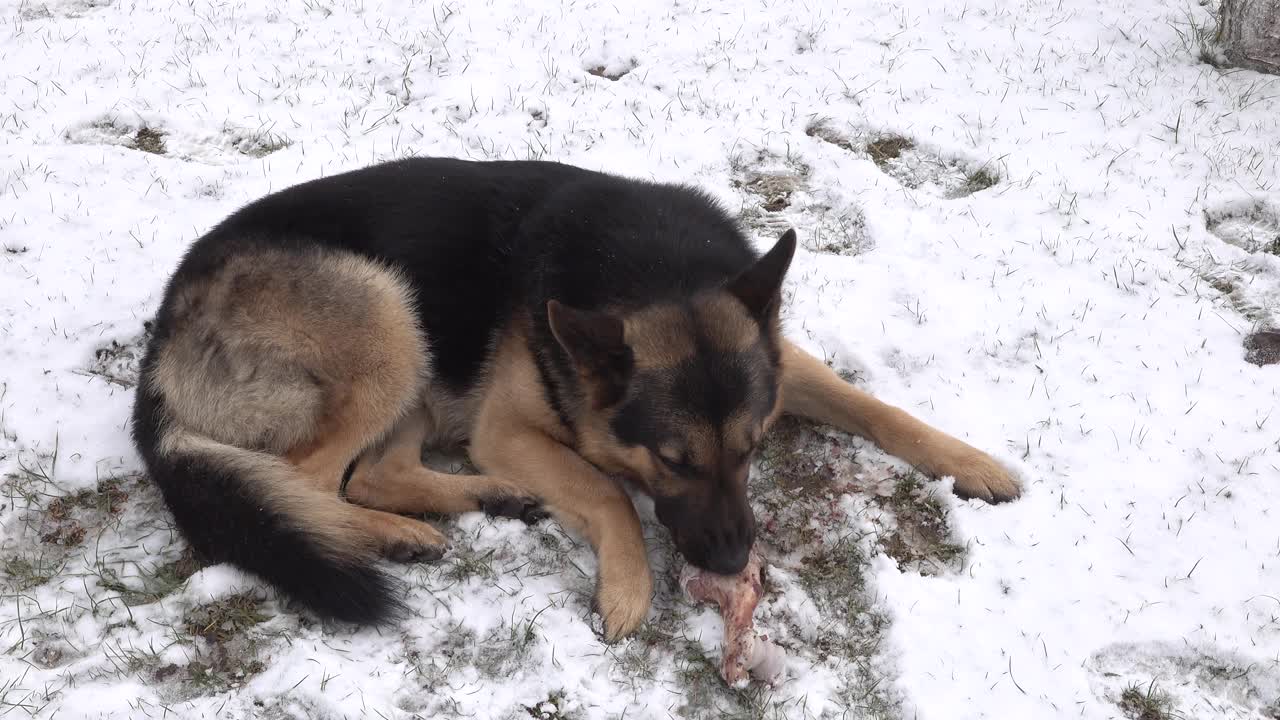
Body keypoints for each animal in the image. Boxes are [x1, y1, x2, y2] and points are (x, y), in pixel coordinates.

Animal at [129, 155, 1018, 632]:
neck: (655, 270)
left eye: (754, 449)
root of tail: (161, 340)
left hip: (418, 358)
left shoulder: (780, 361)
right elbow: (608, 491)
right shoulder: (509, 431)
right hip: (388, 315)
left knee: (374, 472)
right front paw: (628, 586)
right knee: (313, 479)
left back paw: (480, 502)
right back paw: (384, 538)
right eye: (672, 461)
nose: (733, 562)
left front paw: (971, 462)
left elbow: (875, 406)